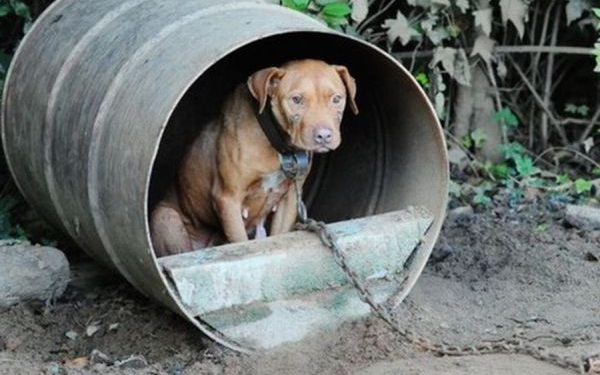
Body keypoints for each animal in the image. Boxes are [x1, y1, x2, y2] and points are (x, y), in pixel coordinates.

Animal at [151, 59, 356, 258]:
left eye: (336, 99)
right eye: (297, 99)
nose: (324, 136)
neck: (280, 148)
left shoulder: (289, 200)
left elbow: (279, 235)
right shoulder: (228, 199)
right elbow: (241, 243)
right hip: (165, 217)